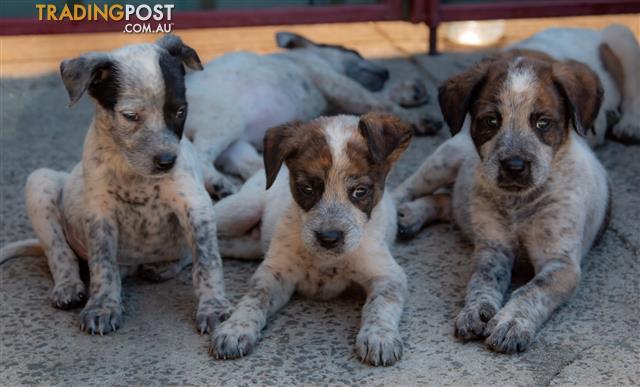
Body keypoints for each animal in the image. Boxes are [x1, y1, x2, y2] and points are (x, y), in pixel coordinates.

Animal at [0, 37, 230, 340]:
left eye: (180, 111)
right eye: (130, 116)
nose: (167, 161)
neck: (133, 172)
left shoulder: (195, 204)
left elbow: (207, 260)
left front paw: (213, 307)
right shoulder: (100, 215)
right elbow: (103, 264)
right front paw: (102, 307)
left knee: (184, 255)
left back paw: (163, 266)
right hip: (39, 182)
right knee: (58, 252)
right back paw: (68, 287)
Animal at [182, 31, 438, 199]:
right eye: (354, 51)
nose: (386, 72)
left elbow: (378, 100)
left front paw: (411, 91)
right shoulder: (335, 82)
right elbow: (378, 100)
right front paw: (417, 118)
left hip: (236, 142)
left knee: (248, 164)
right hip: (227, 119)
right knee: (200, 155)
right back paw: (216, 183)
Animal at [208, 113, 412, 366]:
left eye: (360, 191)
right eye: (306, 188)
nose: (329, 238)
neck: (327, 260)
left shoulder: (387, 274)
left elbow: (381, 304)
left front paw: (379, 336)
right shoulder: (275, 273)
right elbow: (254, 299)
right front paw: (235, 329)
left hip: (246, 245)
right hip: (240, 210)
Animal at [396, 48, 608, 352]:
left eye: (543, 122)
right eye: (491, 121)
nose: (514, 166)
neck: (518, 203)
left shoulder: (560, 263)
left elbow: (531, 290)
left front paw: (511, 323)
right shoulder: (493, 249)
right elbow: (481, 281)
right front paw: (475, 311)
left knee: (445, 202)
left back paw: (413, 216)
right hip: (444, 159)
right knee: (407, 189)